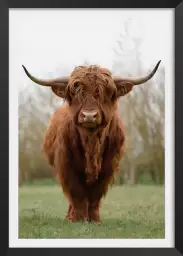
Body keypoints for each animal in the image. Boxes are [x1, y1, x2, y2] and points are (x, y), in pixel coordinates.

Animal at [22, 61, 161, 223]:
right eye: (76, 92)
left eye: (106, 93)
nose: (89, 116)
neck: (92, 142)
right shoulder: (66, 164)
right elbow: (76, 193)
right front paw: (77, 218)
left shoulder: (108, 165)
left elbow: (96, 194)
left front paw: (94, 219)